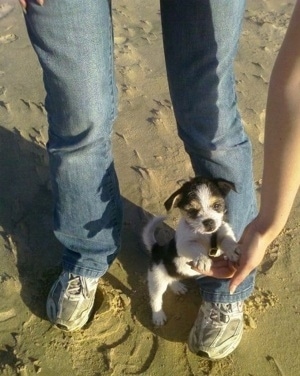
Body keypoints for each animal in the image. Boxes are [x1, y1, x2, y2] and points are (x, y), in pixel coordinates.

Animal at [142, 176, 240, 326]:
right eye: (192, 211)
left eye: (217, 206)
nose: (209, 222)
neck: (205, 235)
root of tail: (156, 249)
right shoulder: (184, 244)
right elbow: (196, 248)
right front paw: (203, 260)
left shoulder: (223, 232)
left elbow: (227, 241)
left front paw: (233, 250)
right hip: (157, 281)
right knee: (155, 299)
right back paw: (158, 316)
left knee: (173, 278)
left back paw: (177, 287)